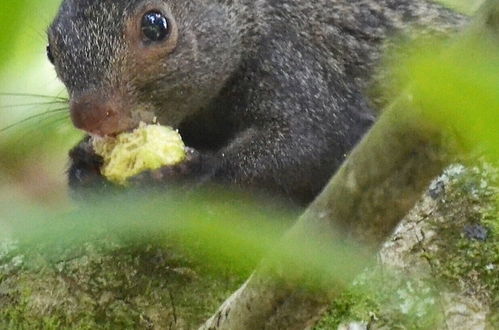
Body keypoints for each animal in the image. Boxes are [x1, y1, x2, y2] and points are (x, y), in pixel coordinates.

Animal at [47, 0, 464, 206]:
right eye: (51, 50)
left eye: (155, 24)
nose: (90, 116)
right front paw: (85, 167)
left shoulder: (290, 60)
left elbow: (317, 139)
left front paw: (188, 174)